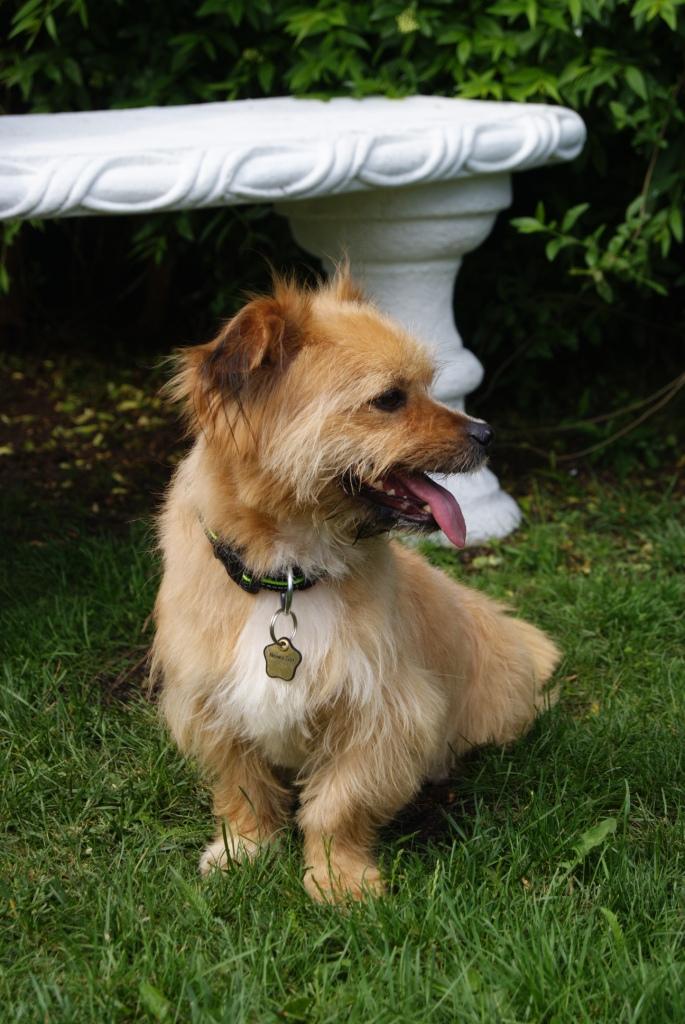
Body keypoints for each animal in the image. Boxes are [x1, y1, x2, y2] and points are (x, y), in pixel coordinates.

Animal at [151, 270, 560, 903]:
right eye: (390, 398)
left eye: (427, 386)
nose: (488, 432)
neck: (288, 577)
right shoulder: (212, 702)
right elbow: (243, 787)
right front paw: (246, 849)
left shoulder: (382, 712)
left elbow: (339, 804)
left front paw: (337, 879)